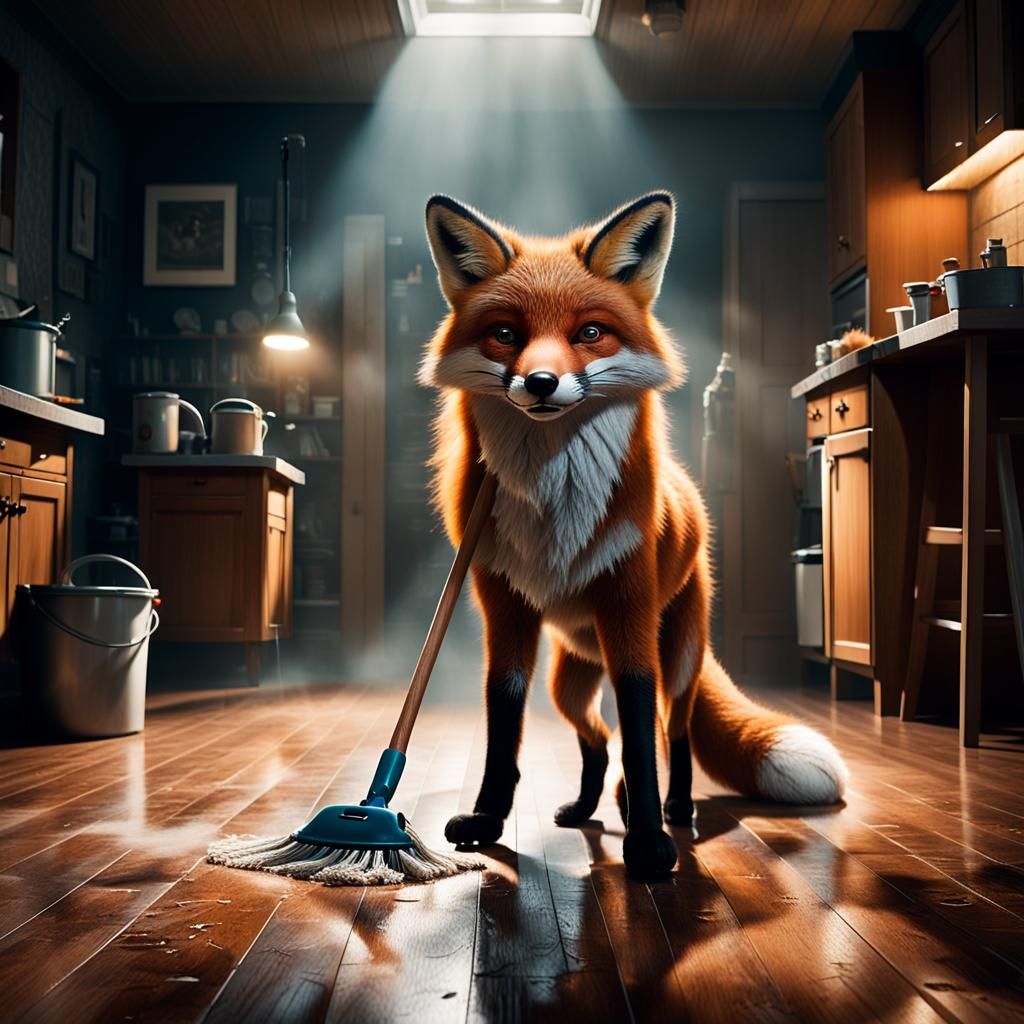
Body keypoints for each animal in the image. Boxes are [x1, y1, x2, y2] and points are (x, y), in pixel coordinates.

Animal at [419, 191, 848, 879]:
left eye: (590, 333)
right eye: (506, 334)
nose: (540, 383)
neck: (554, 508)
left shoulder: (628, 607)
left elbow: (643, 744)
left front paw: (648, 842)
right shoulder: (504, 608)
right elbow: (504, 729)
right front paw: (487, 820)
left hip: (678, 657)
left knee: (671, 733)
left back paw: (675, 810)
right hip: (567, 682)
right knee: (596, 739)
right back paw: (585, 806)